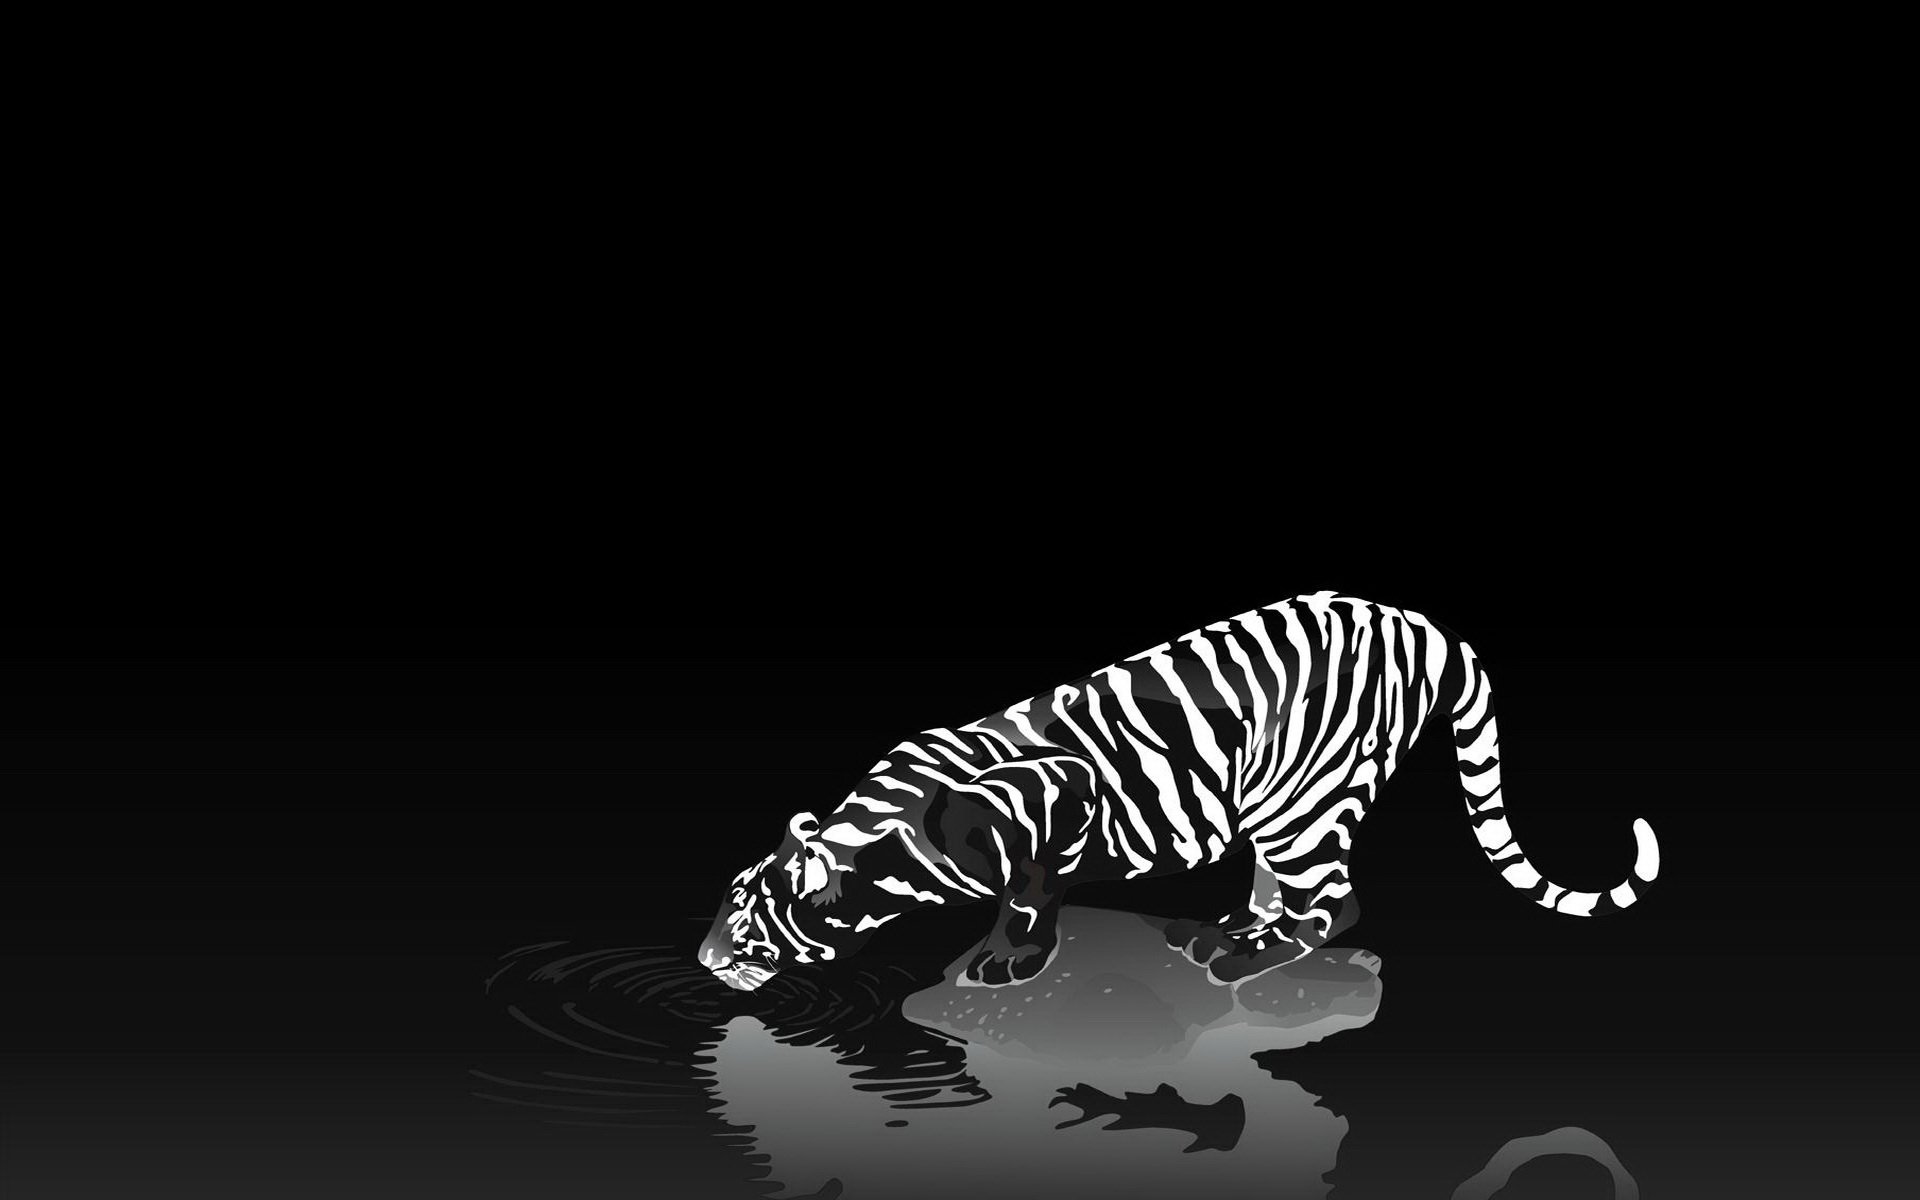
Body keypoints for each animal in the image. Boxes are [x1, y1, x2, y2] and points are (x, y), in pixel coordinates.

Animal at [697, 592, 1660, 992]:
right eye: (729, 899)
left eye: (746, 918)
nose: (703, 960)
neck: (883, 841)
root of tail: (1416, 622)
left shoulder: (1059, 793)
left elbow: (1030, 891)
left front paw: (1007, 960)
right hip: (1278, 802)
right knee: (1285, 885)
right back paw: (1229, 929)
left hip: (1304, 802)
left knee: (1334, 902)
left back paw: (1245, 957)